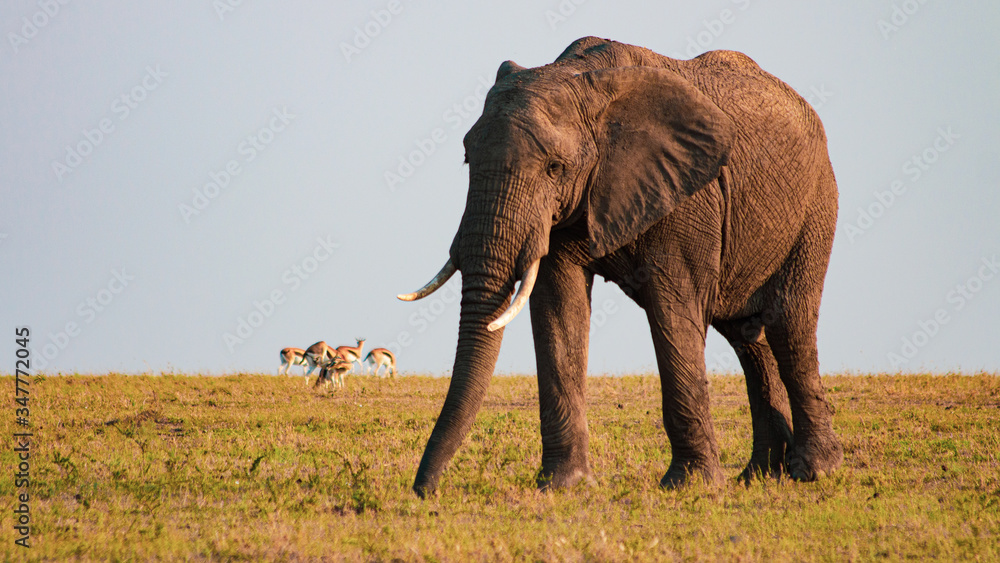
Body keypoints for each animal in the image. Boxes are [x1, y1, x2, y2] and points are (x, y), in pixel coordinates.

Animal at [398, 37, 843, 497]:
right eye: (467, 159)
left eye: (554, 167)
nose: (426, 491)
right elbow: (559, 310)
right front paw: (563, 486)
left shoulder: (686, 196)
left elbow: (674, 310)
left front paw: (689, 486)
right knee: (747, 338)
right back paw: (760, 475)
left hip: (816, 205)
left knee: (788, 324)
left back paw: (813, 471)